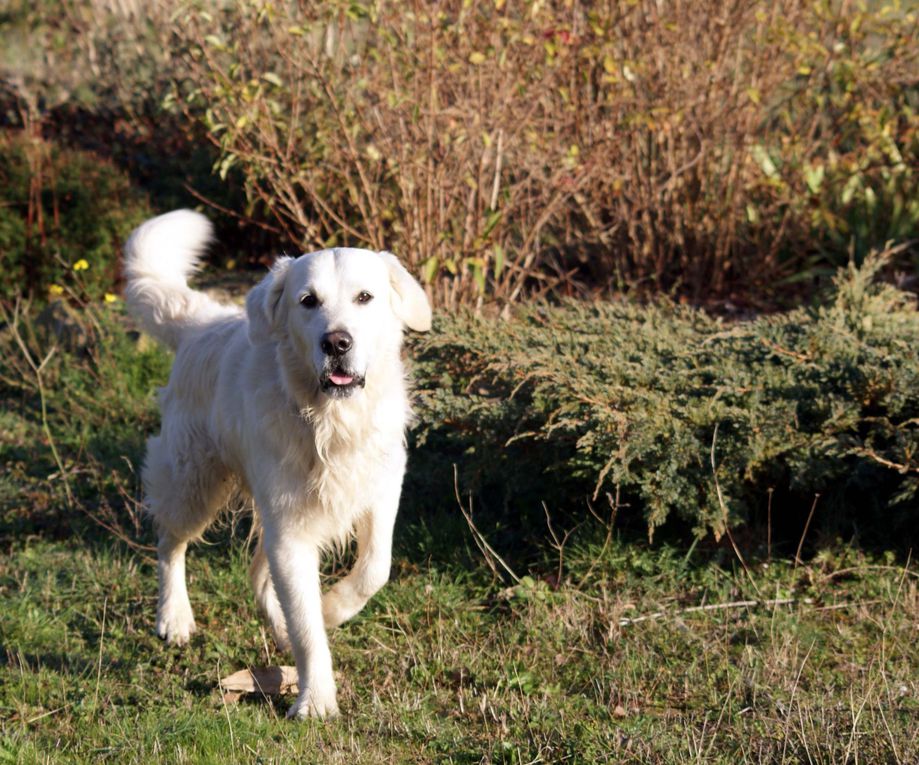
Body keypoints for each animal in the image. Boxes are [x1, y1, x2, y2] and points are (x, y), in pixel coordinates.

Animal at [124, 209, 434, 716]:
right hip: (193, 481)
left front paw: (332, 609)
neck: (330, 421)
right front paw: (316, 701)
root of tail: (205, 323)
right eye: (308, 301)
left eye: (364, 298)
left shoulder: (382, 487)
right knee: (170, 542)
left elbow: (375, 568)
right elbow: (308, 627)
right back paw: (174, 617)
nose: (337, 342)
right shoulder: (290, 531)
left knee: (256, 573)